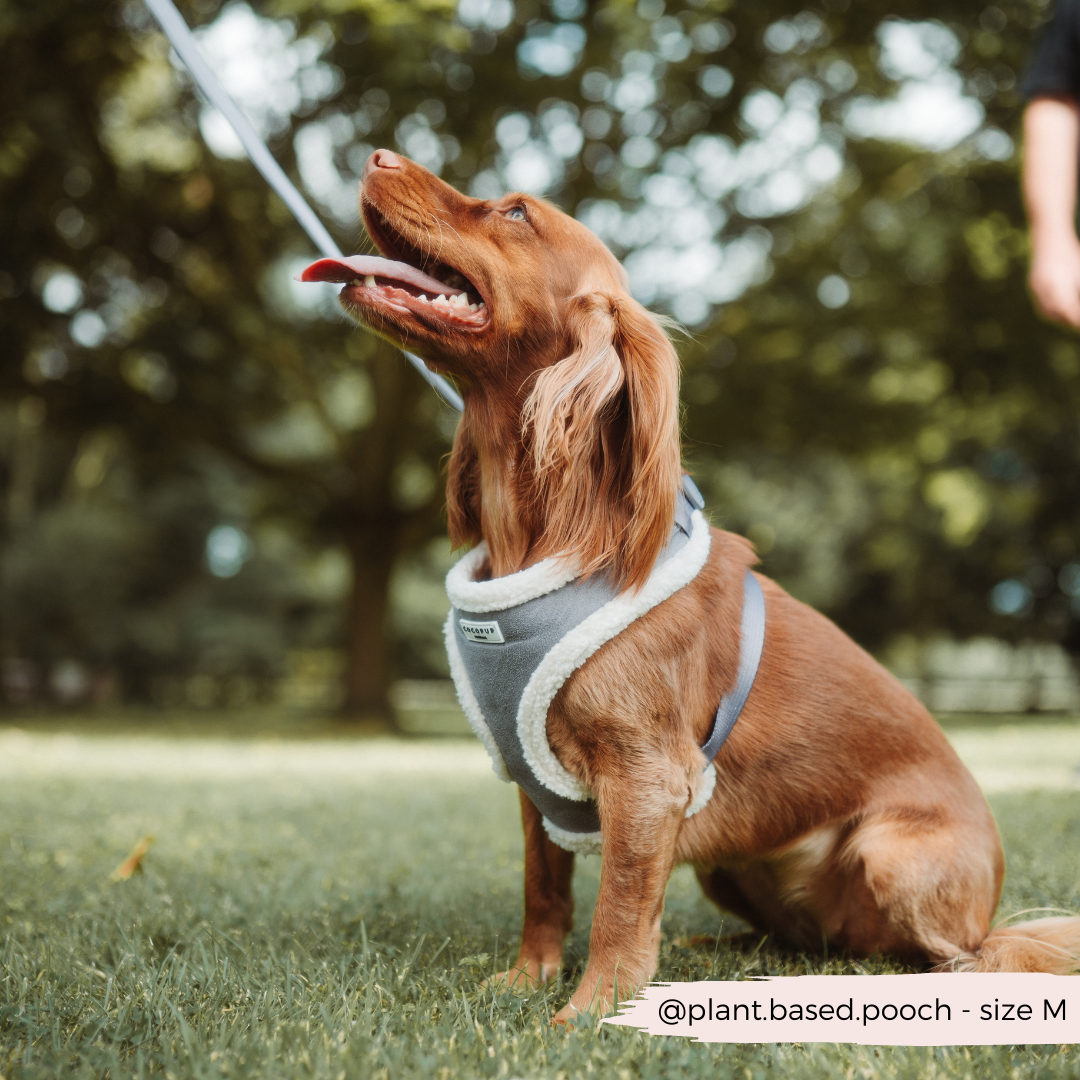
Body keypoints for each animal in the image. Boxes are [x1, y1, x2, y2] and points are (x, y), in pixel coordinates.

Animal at [302, 150, 1080, 1019]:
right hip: (729, 868)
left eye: (514, 212)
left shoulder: (649, 780)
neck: (547, 535)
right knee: (817, 939)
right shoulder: (534, 783)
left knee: (959, 955)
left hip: (891, 856)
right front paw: (529, 977)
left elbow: (617, 905)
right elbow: (545, 890)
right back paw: (716, 948)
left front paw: (593, 1010)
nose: (377, 156)